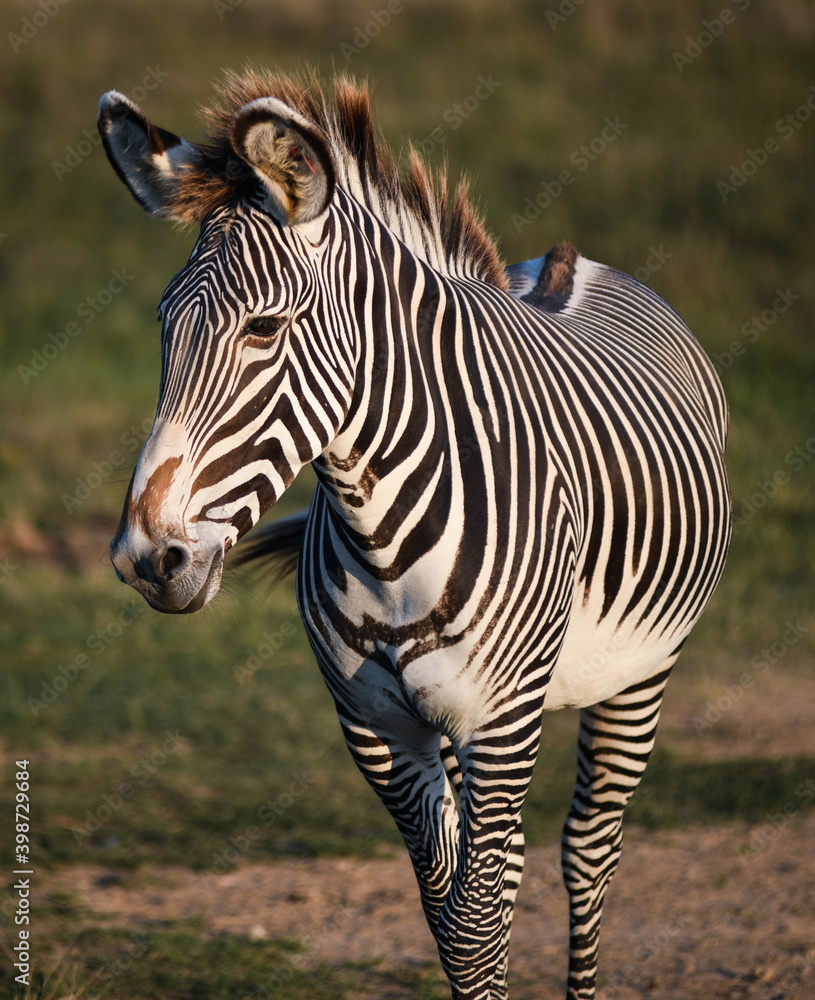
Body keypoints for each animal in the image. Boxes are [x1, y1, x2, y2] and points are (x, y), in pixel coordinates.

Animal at [98, 71, 731, 999]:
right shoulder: (377, 728)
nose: (148, 560)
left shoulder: (500, 721)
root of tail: (569, 261)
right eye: (162, 325)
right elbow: (455, 922)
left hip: (639, 670)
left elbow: (473, 925)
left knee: (588, 853)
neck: (385, 543)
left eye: (262, 329)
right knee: (508, 866)